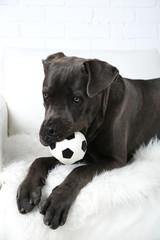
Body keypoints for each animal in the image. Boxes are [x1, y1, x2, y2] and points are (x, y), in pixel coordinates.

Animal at [16, 52, 160, 229]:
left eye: (76, 99)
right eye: (46, 95)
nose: (50, 130)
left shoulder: (115, 159)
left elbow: (79, 171)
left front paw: (57, 200)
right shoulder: (78, 155)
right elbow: (39, 160)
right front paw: (27, 190)